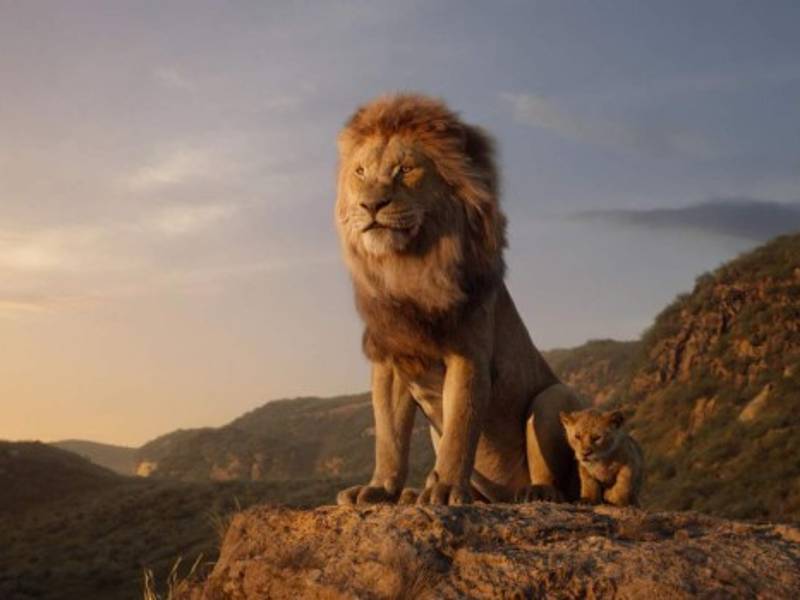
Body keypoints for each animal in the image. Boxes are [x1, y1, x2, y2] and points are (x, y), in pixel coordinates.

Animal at [334, 94, 587, 506]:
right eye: (360, 172)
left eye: (405, 170)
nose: (370, 205)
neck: (408, 267)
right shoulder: (391, 360)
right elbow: (389, 437)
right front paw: (380, 488)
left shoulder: (468, 354)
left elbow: (460, 427)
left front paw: (447, 489)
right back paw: (416, 493)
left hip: (553, 397)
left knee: (558, 480)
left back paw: (535, 492)